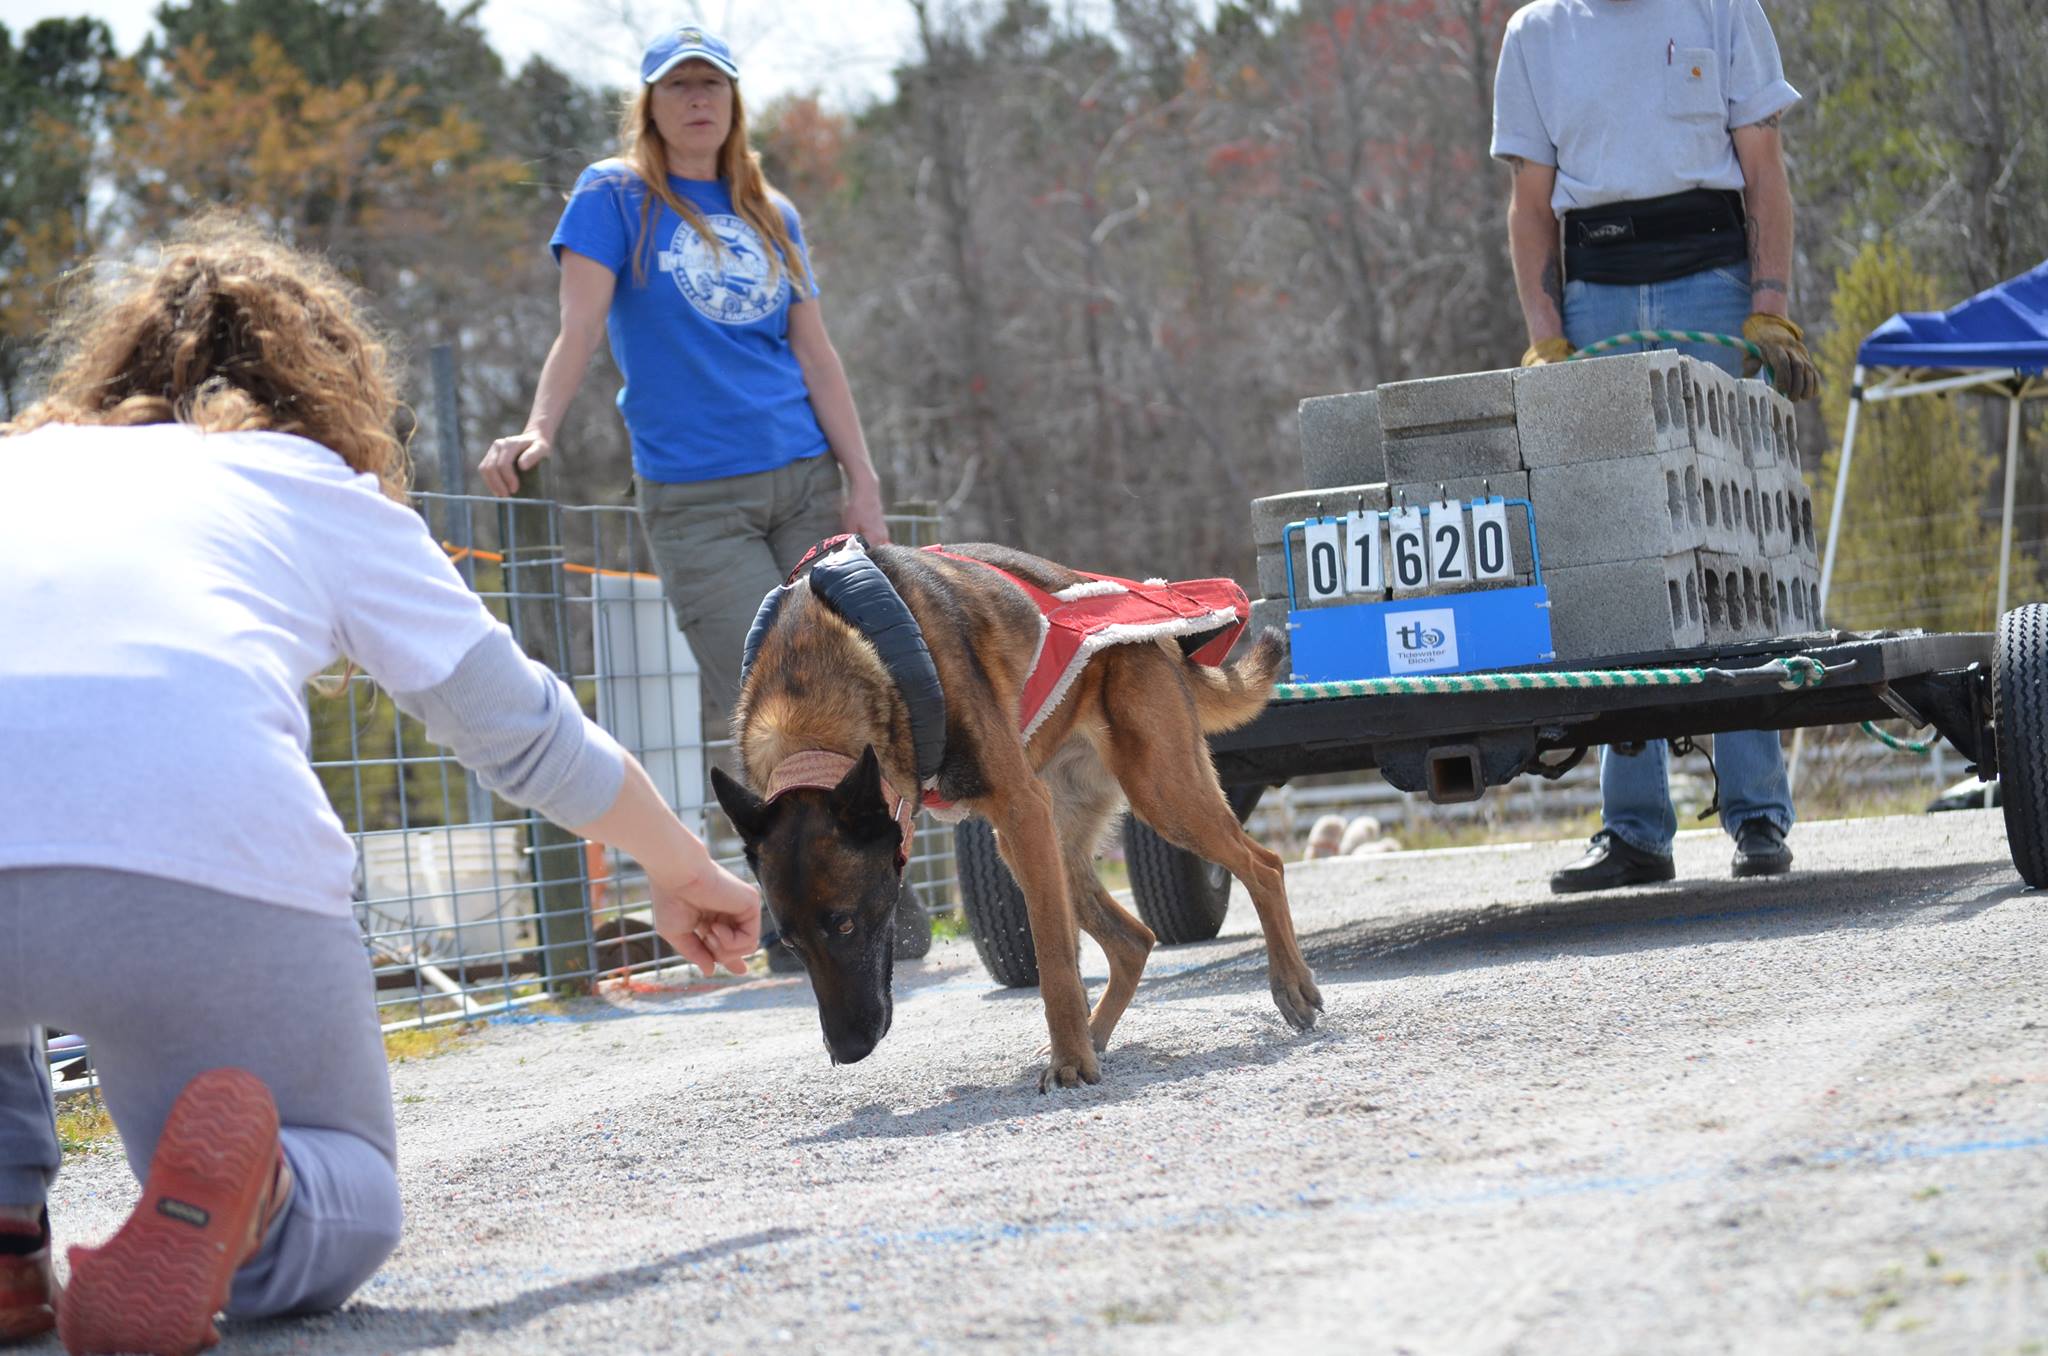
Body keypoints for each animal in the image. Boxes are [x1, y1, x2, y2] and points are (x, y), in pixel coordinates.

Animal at [712, 540, 1318, 1097]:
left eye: (844, 925)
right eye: (790, 944)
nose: (848, 1050)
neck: (807, 701)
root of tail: (1166, 643)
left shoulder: (1020, 808)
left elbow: (1054, 962)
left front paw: (1068, 1061)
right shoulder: (1026, 823)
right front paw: (1074, 1051)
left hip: (1158, 797)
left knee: (1264, 867)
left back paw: (1289, 984)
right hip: (1043, 842)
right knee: (1134, 940)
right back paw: (1096, 1034)